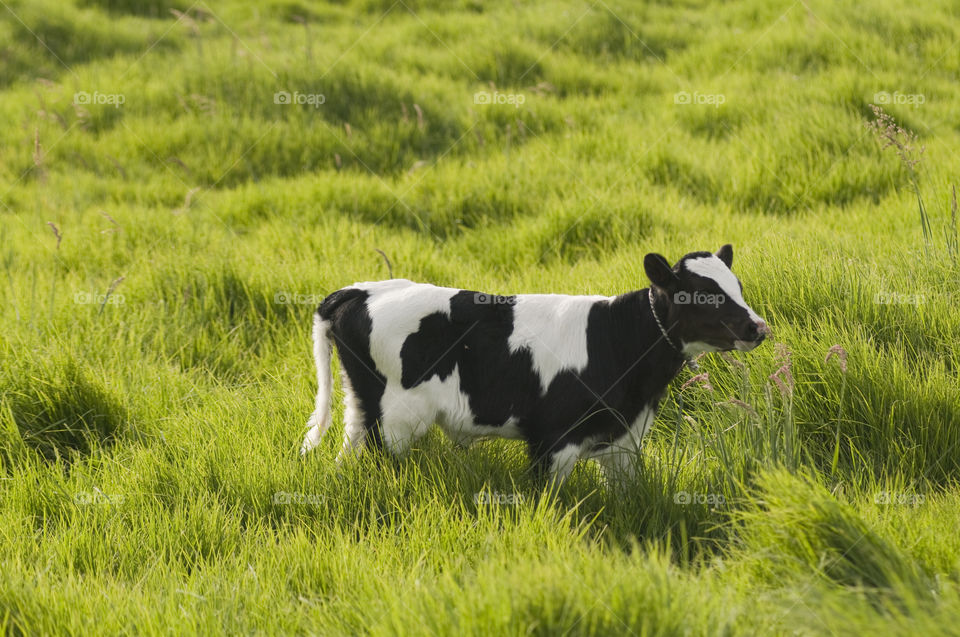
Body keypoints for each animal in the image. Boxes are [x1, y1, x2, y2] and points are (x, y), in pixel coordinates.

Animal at [300, 244, 770, 481]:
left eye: (736, 286)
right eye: (703, 294)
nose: (758, 327)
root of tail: (360, 289)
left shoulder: (621, 440)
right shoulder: (552, 440)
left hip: (363, 414)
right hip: (392, 420)